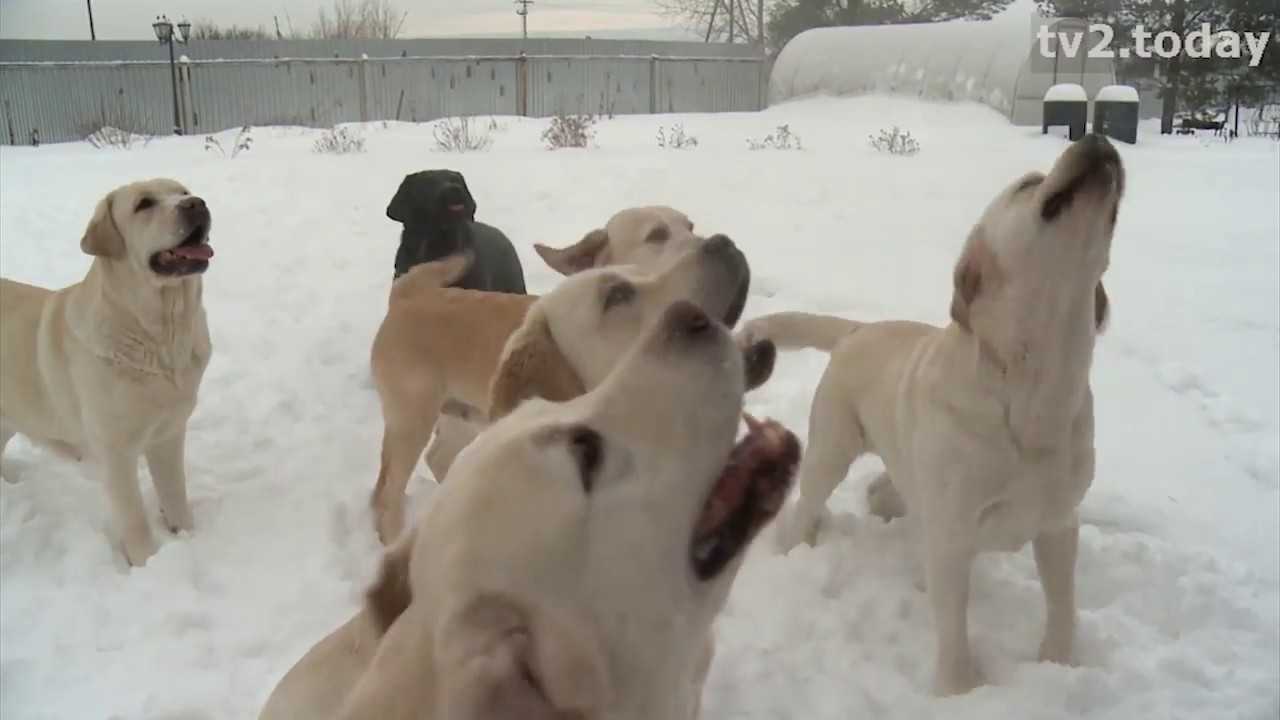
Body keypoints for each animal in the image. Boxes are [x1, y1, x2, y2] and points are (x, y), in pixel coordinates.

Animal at [0, 176, 215, 563]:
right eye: (144, 204)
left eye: (183, 191)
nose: (196, 204)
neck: (161, 334)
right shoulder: (116, 452)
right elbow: (133, 519)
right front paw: (147, 563)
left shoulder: (168, 434)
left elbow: (175, 495)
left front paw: (187, 537)